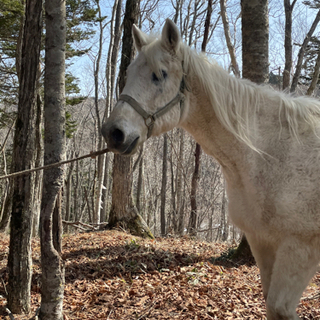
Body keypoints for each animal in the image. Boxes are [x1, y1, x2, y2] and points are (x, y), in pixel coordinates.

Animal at [102, 18, 320, 318]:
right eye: (131, 72)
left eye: (160, 75)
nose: (113, 133)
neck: (270, 152)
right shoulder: (263, 242)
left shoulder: (300, 247)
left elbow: (279, 307)